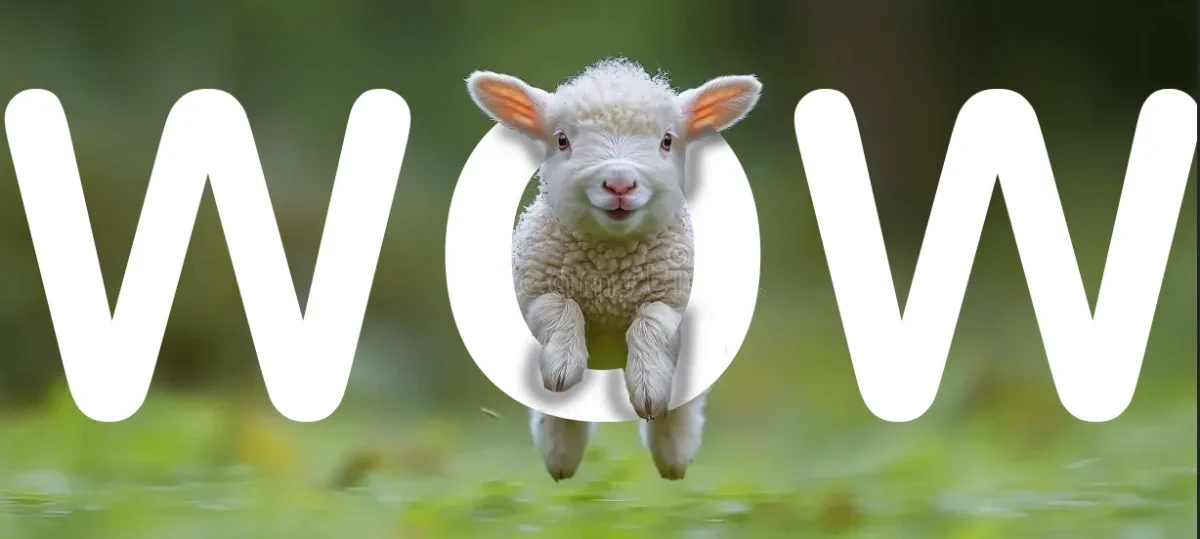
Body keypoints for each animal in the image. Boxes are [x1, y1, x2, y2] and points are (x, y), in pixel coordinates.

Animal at [464, 57, 762, 481]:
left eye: (667, 140)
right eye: (562, 141)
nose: (619, 184)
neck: (611, 269)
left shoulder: (672, 300)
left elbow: (650, 324)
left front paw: (649, 391)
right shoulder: (537, 291)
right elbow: (560, 310)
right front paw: (563, 367)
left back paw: (673, 456)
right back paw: (560, 455)